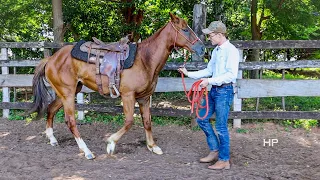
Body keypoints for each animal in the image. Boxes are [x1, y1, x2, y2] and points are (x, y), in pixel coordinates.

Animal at [30, 12, 205, 159]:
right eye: (185, 29)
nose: (202, 48)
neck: (145, 59)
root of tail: (51, 59)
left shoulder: (144, 98)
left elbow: (147, 121)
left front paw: (152, 146)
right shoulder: (128, 96)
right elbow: (129, 121)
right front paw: (111, 143)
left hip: (67, 93)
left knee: (51, 109)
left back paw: (53, 139)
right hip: (67, 94)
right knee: (70, 121)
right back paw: (86, 151)